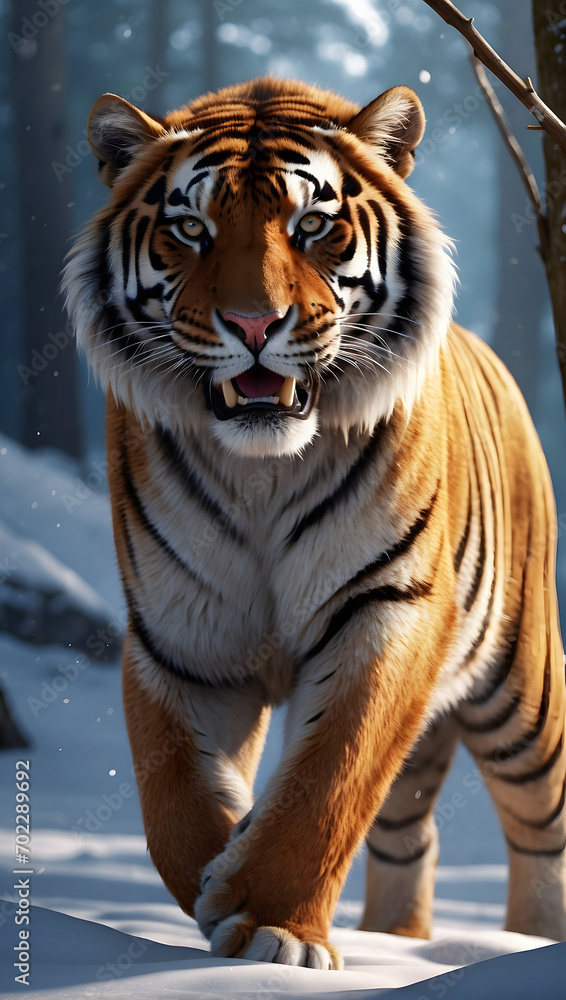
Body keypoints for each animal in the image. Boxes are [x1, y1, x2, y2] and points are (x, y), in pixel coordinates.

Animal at [63, 76, 566, 970]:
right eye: (190, 229)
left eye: (313, 226)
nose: (254, 326)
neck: (264, 471)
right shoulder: (179, 633)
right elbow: (170, 793)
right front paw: (217, 875)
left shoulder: (387, 604)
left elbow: (331, 775)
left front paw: (268, 922)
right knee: (408, 838)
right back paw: (396, 941)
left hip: (523, 689)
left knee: (543, 831)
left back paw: (529, 945)